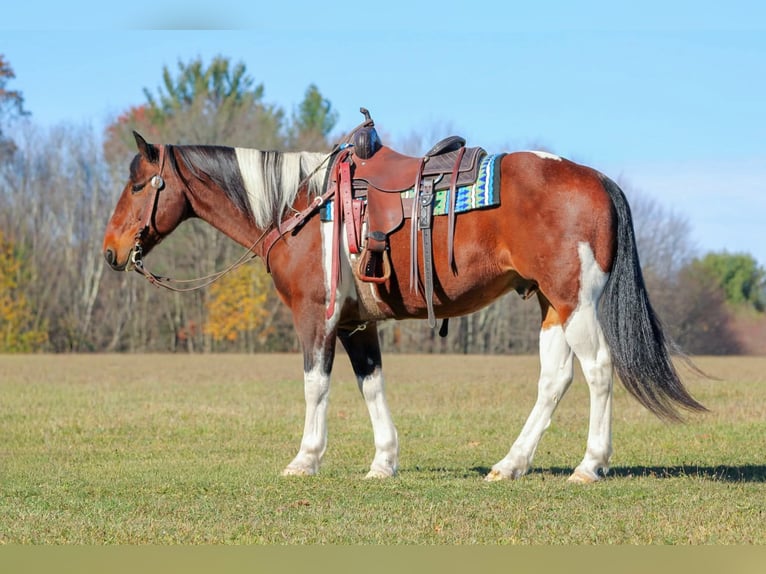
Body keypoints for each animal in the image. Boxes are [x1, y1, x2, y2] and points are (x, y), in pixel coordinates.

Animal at [102, 120, 706, 483]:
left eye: (137, 186)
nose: (110, 251)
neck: (298, 205)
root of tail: (596, 179)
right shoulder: (356, 324)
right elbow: (371, 385)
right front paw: (384, 462)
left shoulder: (316, 314)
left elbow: (315, 385)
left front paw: (305, 458)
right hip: (551, 306)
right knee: (554, 380)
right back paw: (510, 464)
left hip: (574, 301)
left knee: (599, 369)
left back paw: (589, 464)